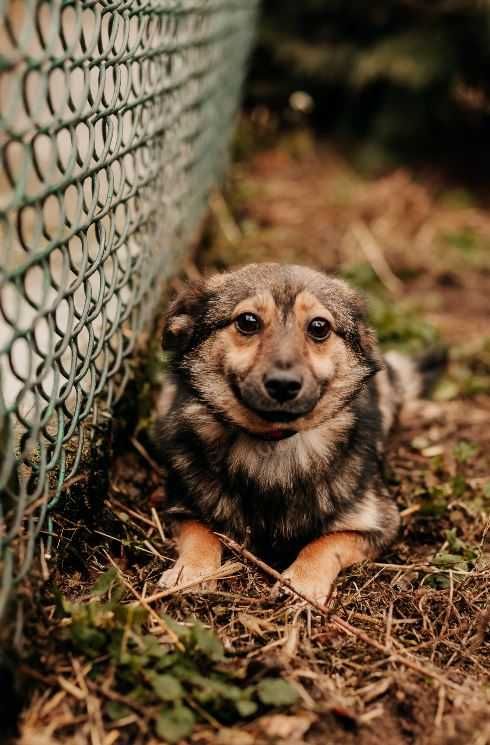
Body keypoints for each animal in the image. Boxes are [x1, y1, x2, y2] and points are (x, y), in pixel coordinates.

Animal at [153, 264, 444, 600]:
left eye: (319, 327)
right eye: (247, 321)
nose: (283, 385)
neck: (275, 441)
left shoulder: (378, 521)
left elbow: (324, 544)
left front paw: (303, 581)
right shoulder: (182, 504)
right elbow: (201, 532)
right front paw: (192, 570)